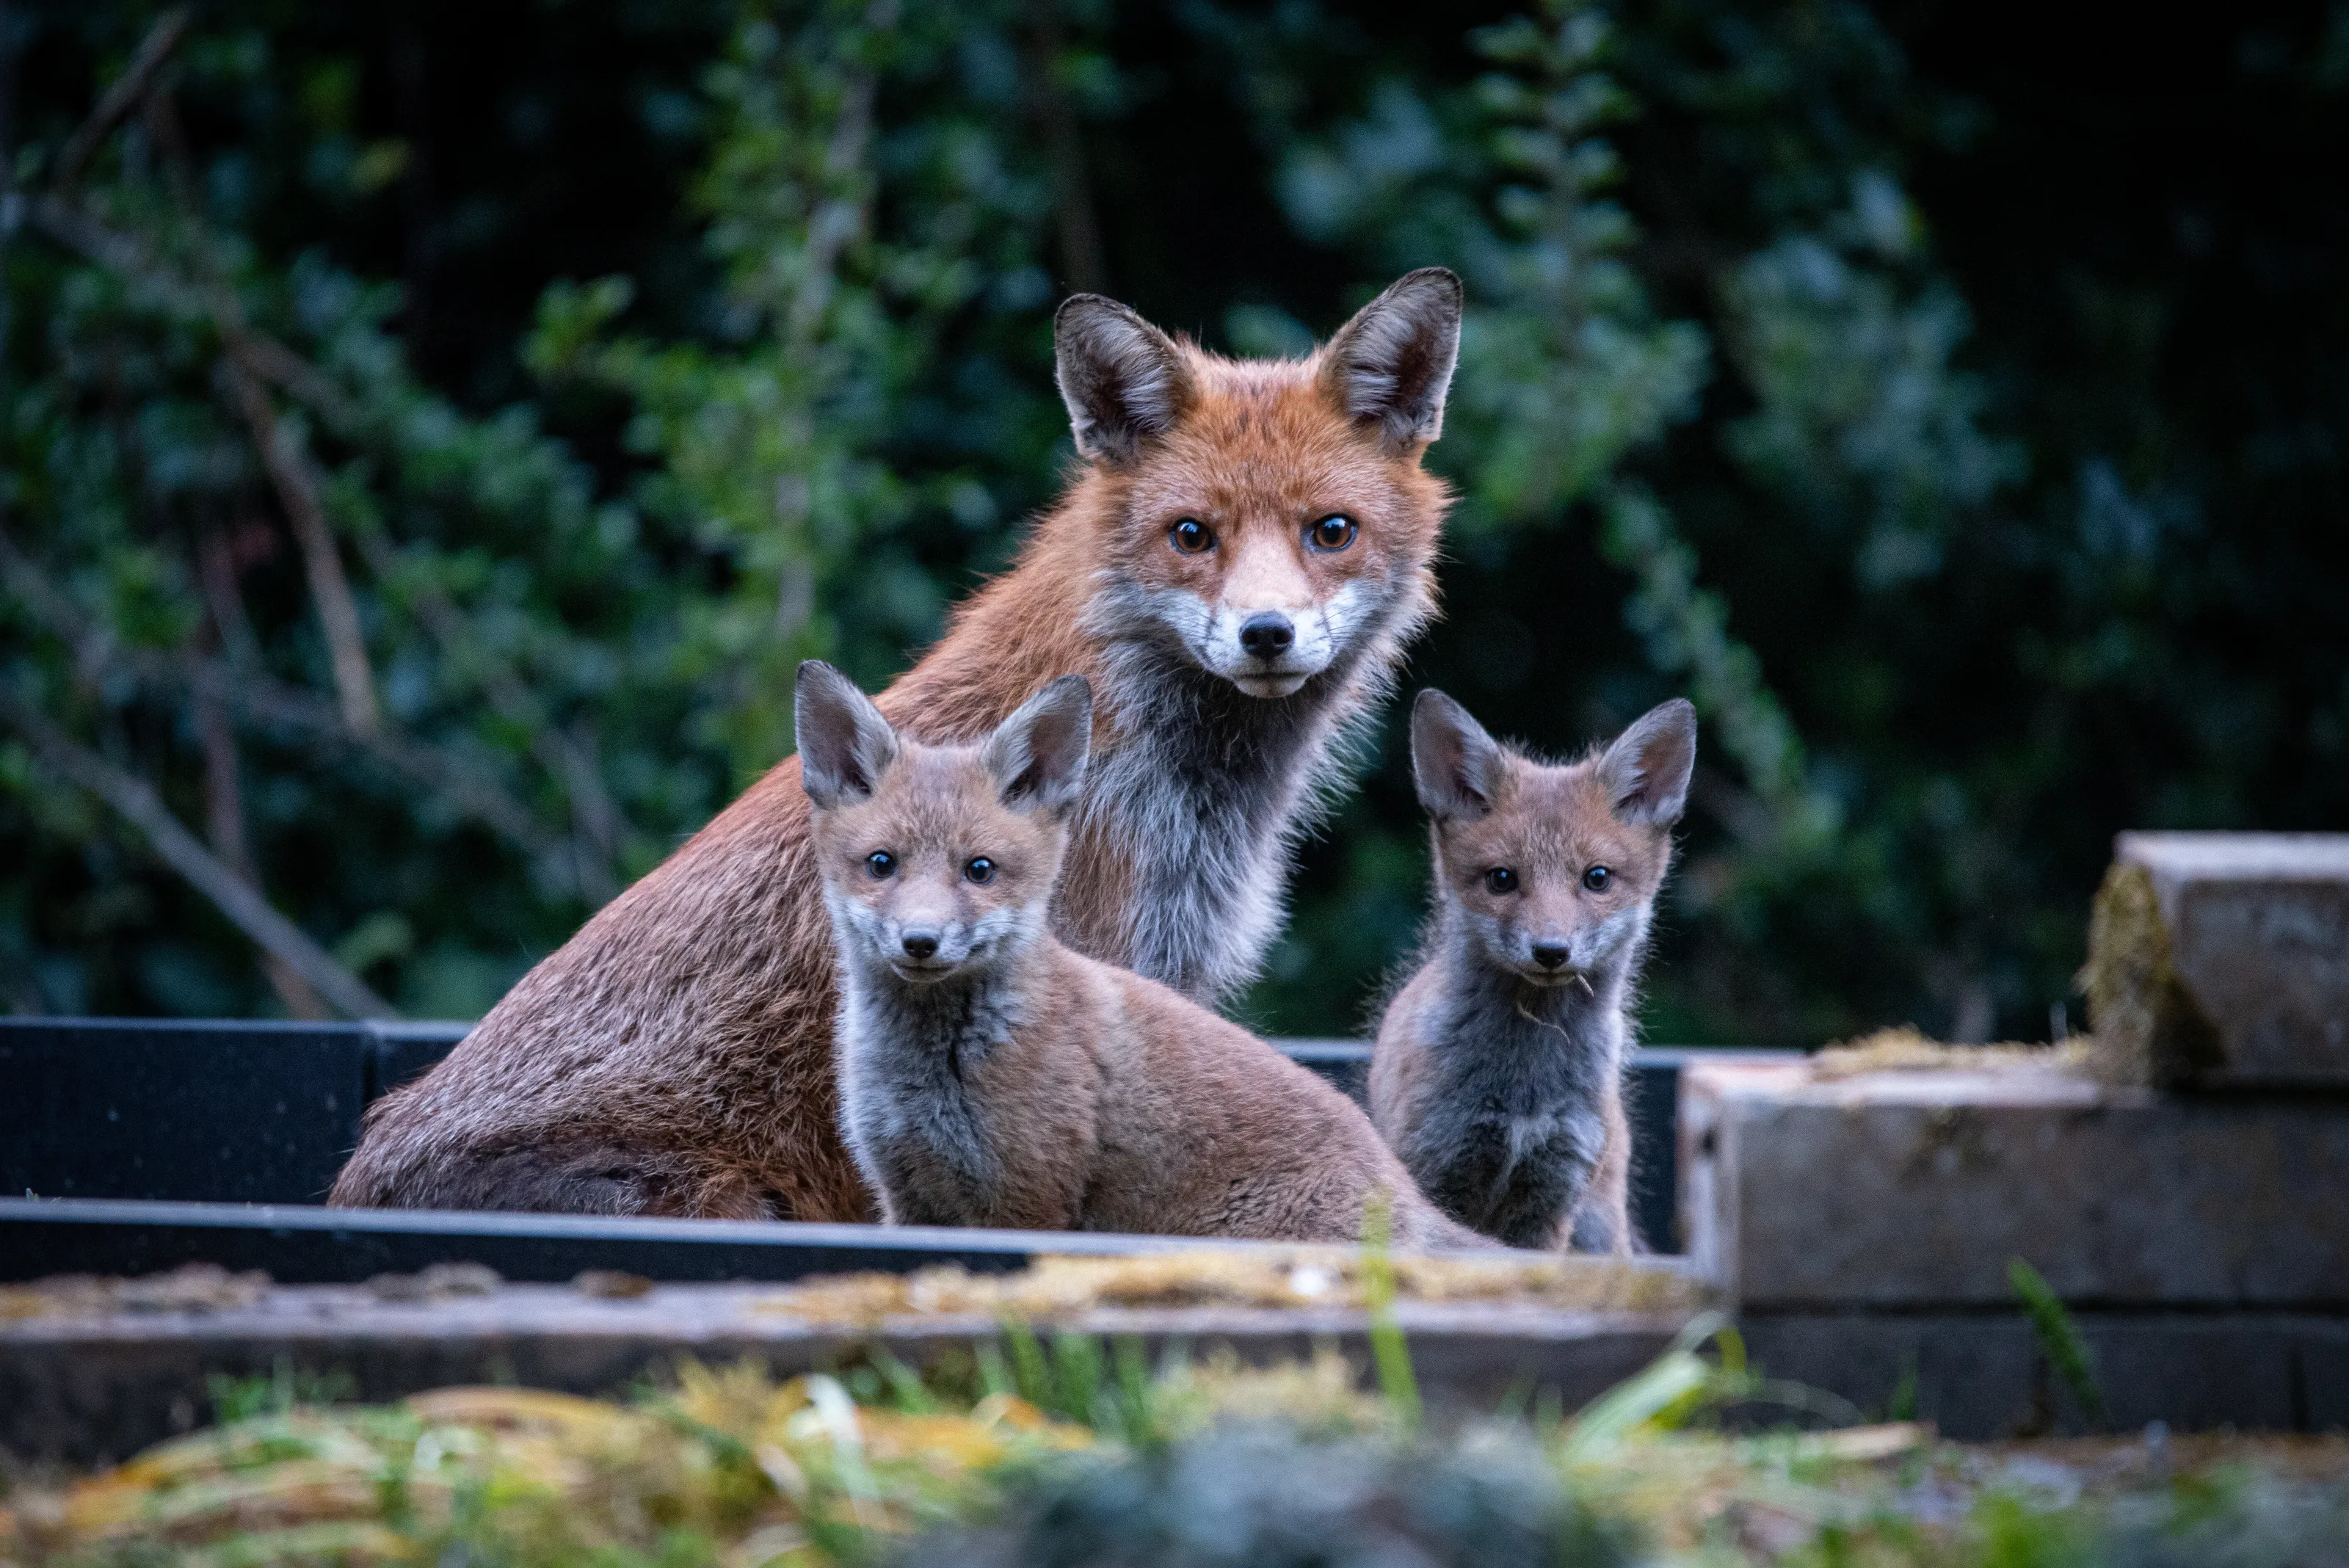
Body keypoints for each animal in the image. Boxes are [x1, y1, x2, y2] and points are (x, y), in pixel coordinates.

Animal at [798, 660, 1483, 1248]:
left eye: (980, 870)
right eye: (881, 864)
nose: (920, 942)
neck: (927, 1074)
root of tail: (1406, 1191)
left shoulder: (1024, 1204)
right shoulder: (905, 1197)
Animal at [1368, 691, 1697, 1253]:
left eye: (1597, 878)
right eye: (1502, 879)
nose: (1551, 951)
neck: (1524, 1085)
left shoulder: (1553, 1191)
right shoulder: (1434, 1169)